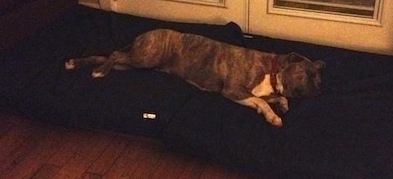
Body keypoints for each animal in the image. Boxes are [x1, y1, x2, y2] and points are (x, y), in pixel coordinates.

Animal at [65, 28, 324, 127]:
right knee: (114, 54)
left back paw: (78, 63)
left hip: (132, 64)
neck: (272, 71)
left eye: (318, 81)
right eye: (306, 75)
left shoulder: (252, 93)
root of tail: (144, 34)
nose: (316, 92)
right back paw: (99, 71)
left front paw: (280, 107)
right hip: (145, 57)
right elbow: (261, 101)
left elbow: (272, 100)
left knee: (107, 56)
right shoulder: (233, 90)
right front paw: (273, 115)